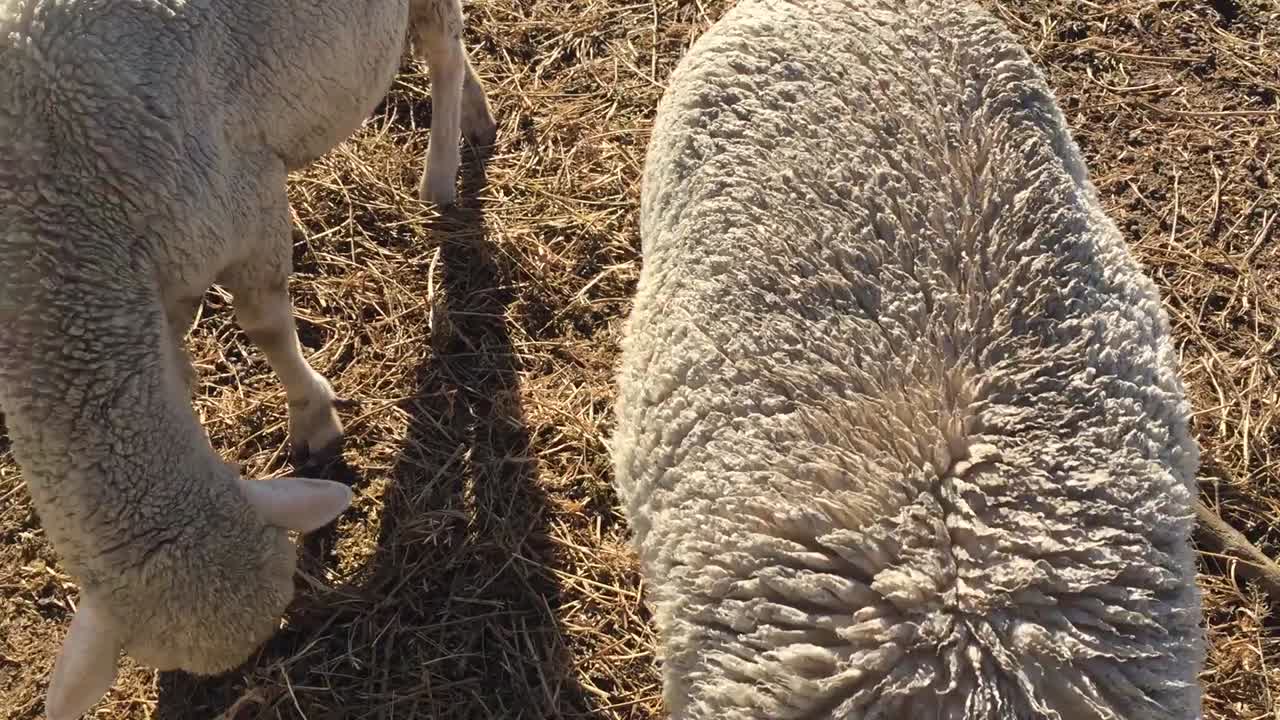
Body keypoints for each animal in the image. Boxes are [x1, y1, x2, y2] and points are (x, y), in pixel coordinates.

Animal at [0, 1, 495, 718]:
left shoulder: (243, 198)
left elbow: (264, 324)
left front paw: (315, 420)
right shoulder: (165, 279)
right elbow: (182, 364)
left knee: (442, 47)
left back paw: (440, 168)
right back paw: (477, 118)